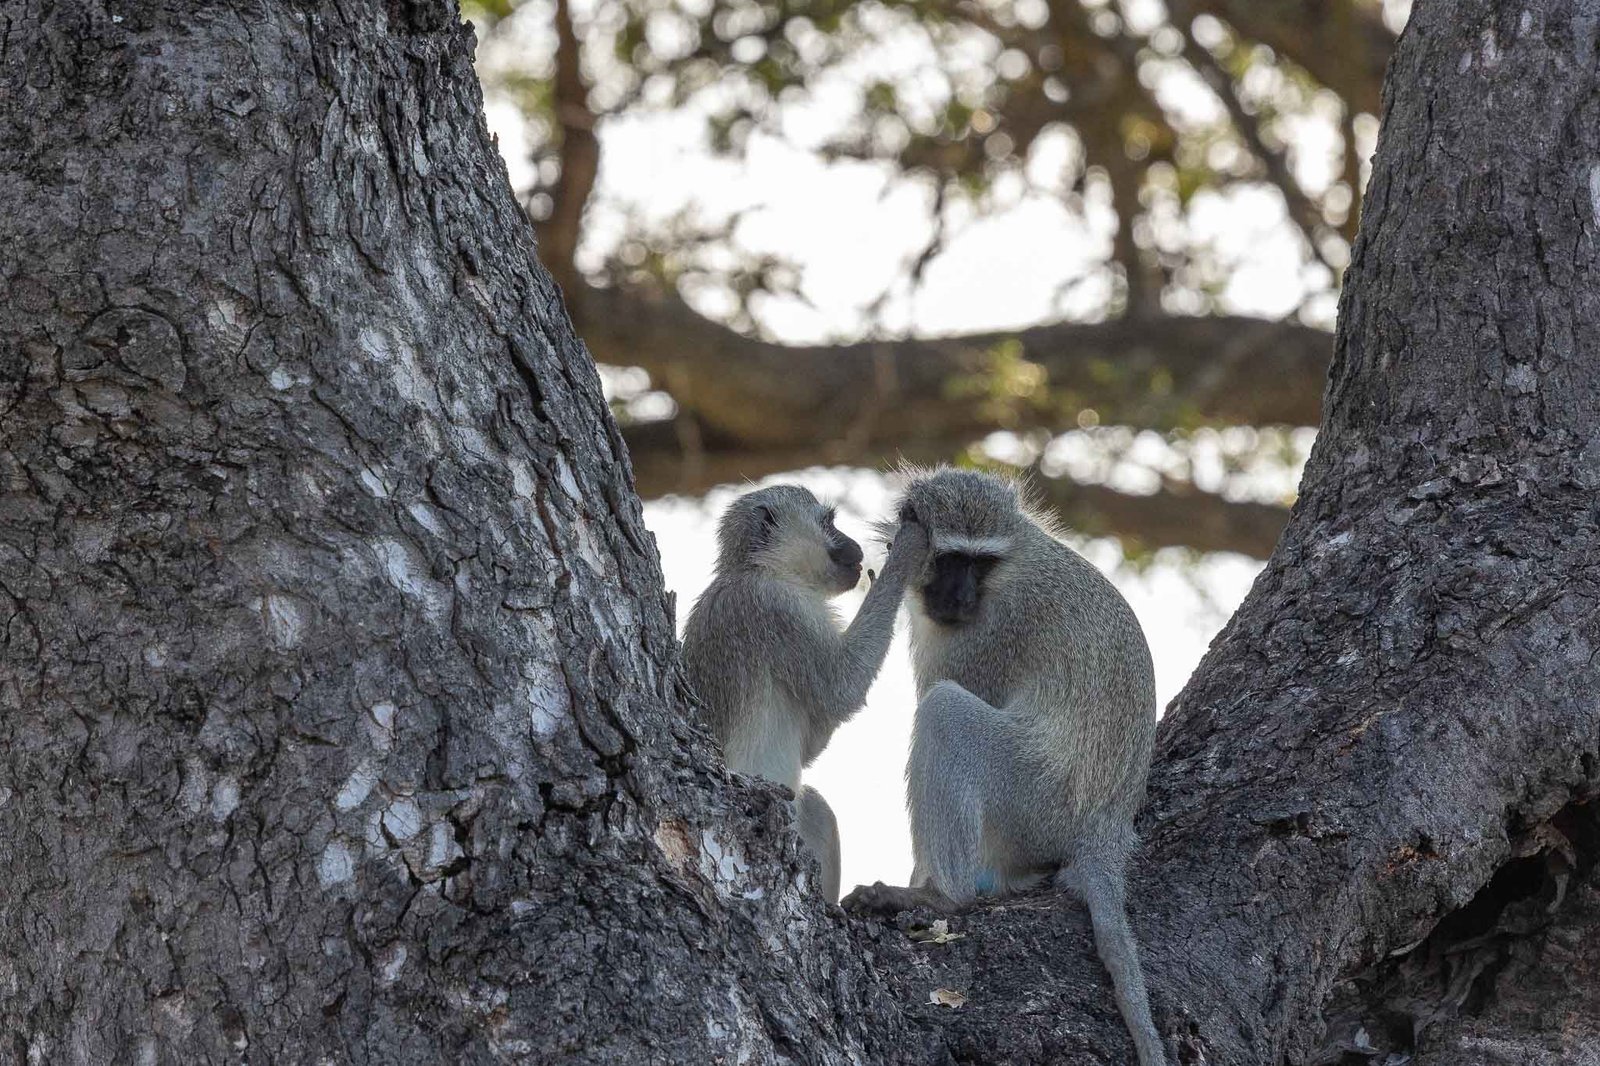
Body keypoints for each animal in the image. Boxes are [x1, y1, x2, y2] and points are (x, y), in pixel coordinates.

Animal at [681, 484, 929, 902]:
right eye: (828, 522)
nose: (854, 545)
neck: (764, 569)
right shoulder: (779, 608)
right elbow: (841, 688)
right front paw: (902, 556)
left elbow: (811, 743)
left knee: (814, 806)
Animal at [841, 468, 1165, 1066]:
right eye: (951, 559)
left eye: (980, 564)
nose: (960, 596)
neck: (1013, 564)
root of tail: (1105, 831)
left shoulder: (987, 636)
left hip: (1035, 798)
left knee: (945, 712)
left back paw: (942, 895)